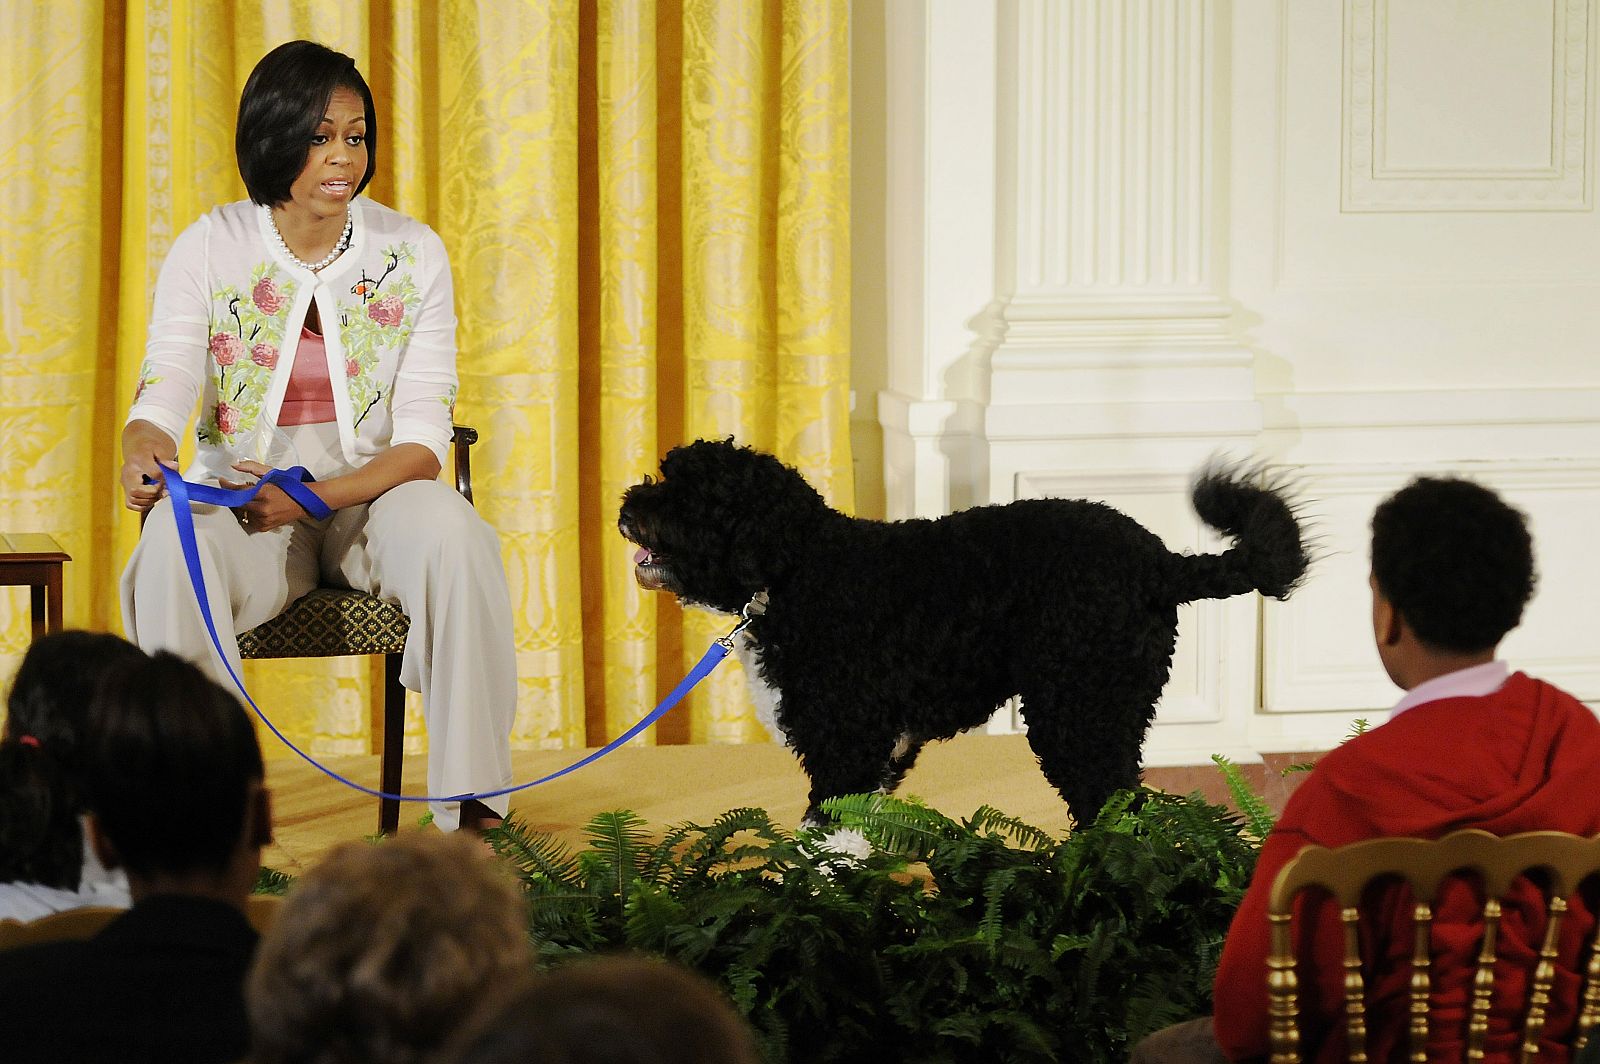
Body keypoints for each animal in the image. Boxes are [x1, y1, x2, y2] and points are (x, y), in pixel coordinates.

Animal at [617, 435, 1305, 825]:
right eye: (665, 474)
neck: (799, 572)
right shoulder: (883, 751)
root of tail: (1160, 561)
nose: (627, 505)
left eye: (691, 493)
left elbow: (823, 847)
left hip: (1080, 709)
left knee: (1116, 814)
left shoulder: (847, 742)